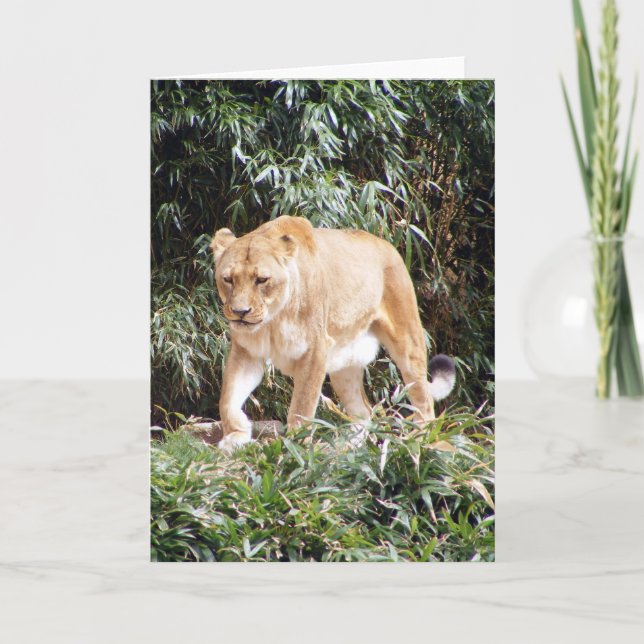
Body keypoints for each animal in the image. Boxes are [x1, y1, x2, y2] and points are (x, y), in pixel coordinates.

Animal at [210, 215, 456, 452]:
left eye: (261, 280)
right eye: (228, 279)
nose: (240, 312)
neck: (272, 321)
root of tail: (387, 244)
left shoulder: (315, 351)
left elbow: (302, 405)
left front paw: (296, 447)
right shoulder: (246, 352)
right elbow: (228, 399)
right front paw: (236, 436)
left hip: (407, 340)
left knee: (423, 399)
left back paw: (421, 441)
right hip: (343, 366)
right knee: (364, 411)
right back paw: (348, 448)